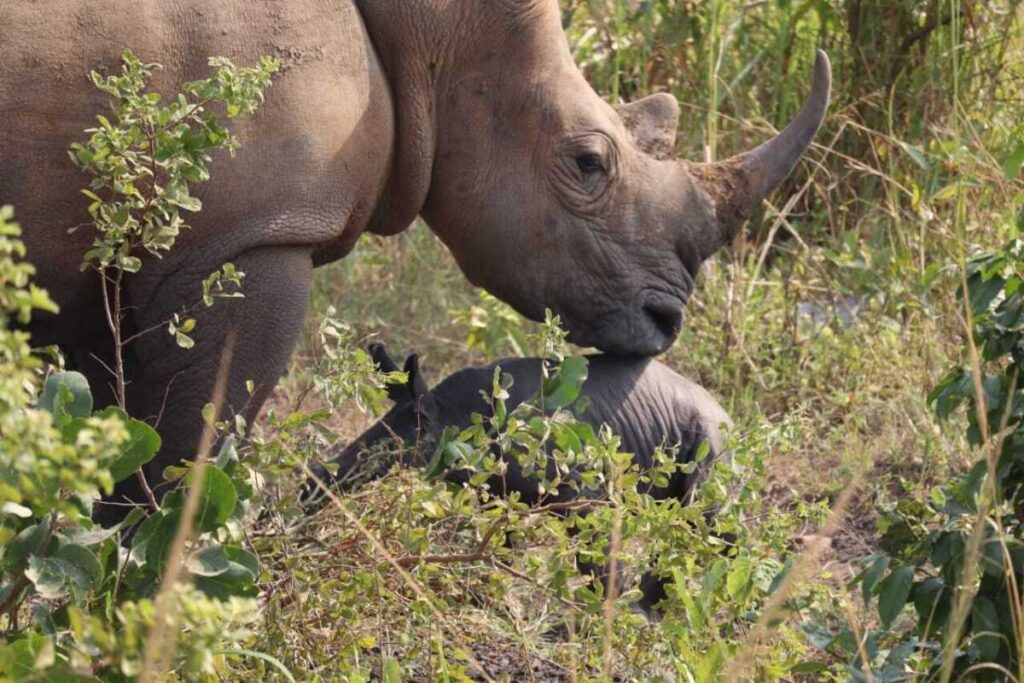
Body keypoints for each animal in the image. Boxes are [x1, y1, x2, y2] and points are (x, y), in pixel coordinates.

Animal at [0, 0, 827, 516]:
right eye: (589, 164)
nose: (666, 321)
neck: (438, 24)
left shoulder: (111, 254)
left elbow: (102, 429)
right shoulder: (242, 235)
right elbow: (177, 452)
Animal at [307, 348, 733, 614]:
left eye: (392, 451)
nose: (313, 483)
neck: (450, 415)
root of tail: (728, 415)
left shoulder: (584, 496)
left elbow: (596, 561)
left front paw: (604, 618)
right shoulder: (501, 496)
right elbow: (500, 550)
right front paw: (486, 601)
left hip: (711, 444)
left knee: (702, 525)